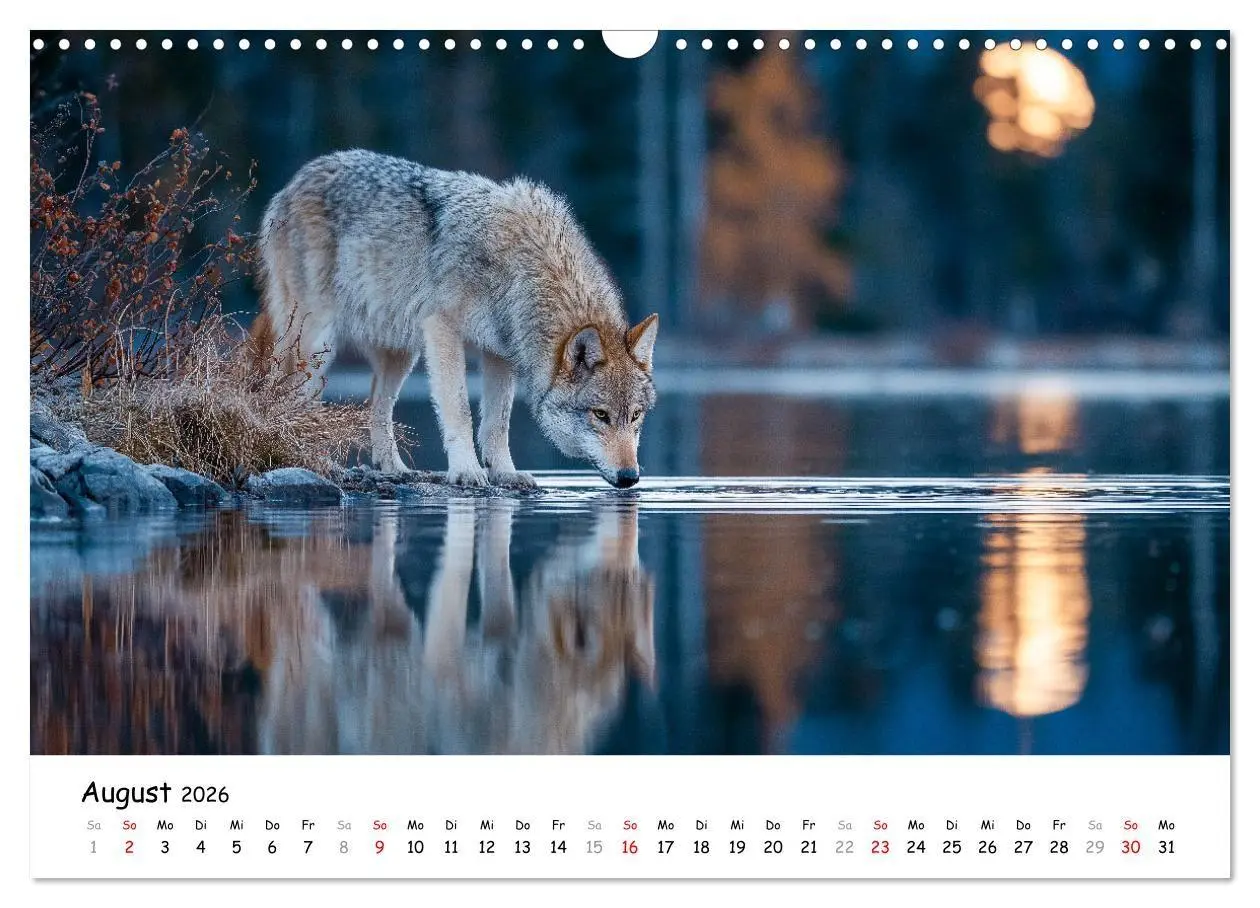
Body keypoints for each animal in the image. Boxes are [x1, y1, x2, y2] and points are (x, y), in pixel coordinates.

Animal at [253, 150, 659, 488]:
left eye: (636, 415)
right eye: (600, 415)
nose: (630, 477)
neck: (524, 266)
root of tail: (296, 180)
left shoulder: (499, 353)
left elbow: (497, 422)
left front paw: (506, 474)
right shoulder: (443, 329)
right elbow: (460, 409)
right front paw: (466, 470)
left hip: (400, 354)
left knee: (377, 407)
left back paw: (396, 470)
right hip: (316, 344)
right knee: (297, 401)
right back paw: (318, 463)